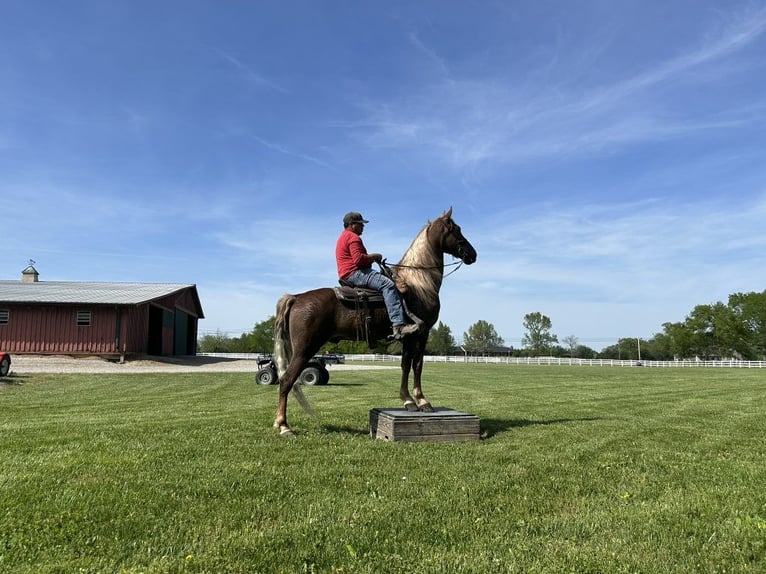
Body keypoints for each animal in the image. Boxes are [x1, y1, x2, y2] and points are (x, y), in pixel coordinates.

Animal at [272, 207, 476, 436]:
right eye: (456, 229)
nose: (473, 254)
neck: (419, 284)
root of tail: (297, 297)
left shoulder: (408, 337)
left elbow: (405, 365)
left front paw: (408, 401)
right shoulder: (421, 333)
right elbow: (417, 365)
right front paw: (423, 402)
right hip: (305, 348)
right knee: (286, 380)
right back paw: (284, 426)